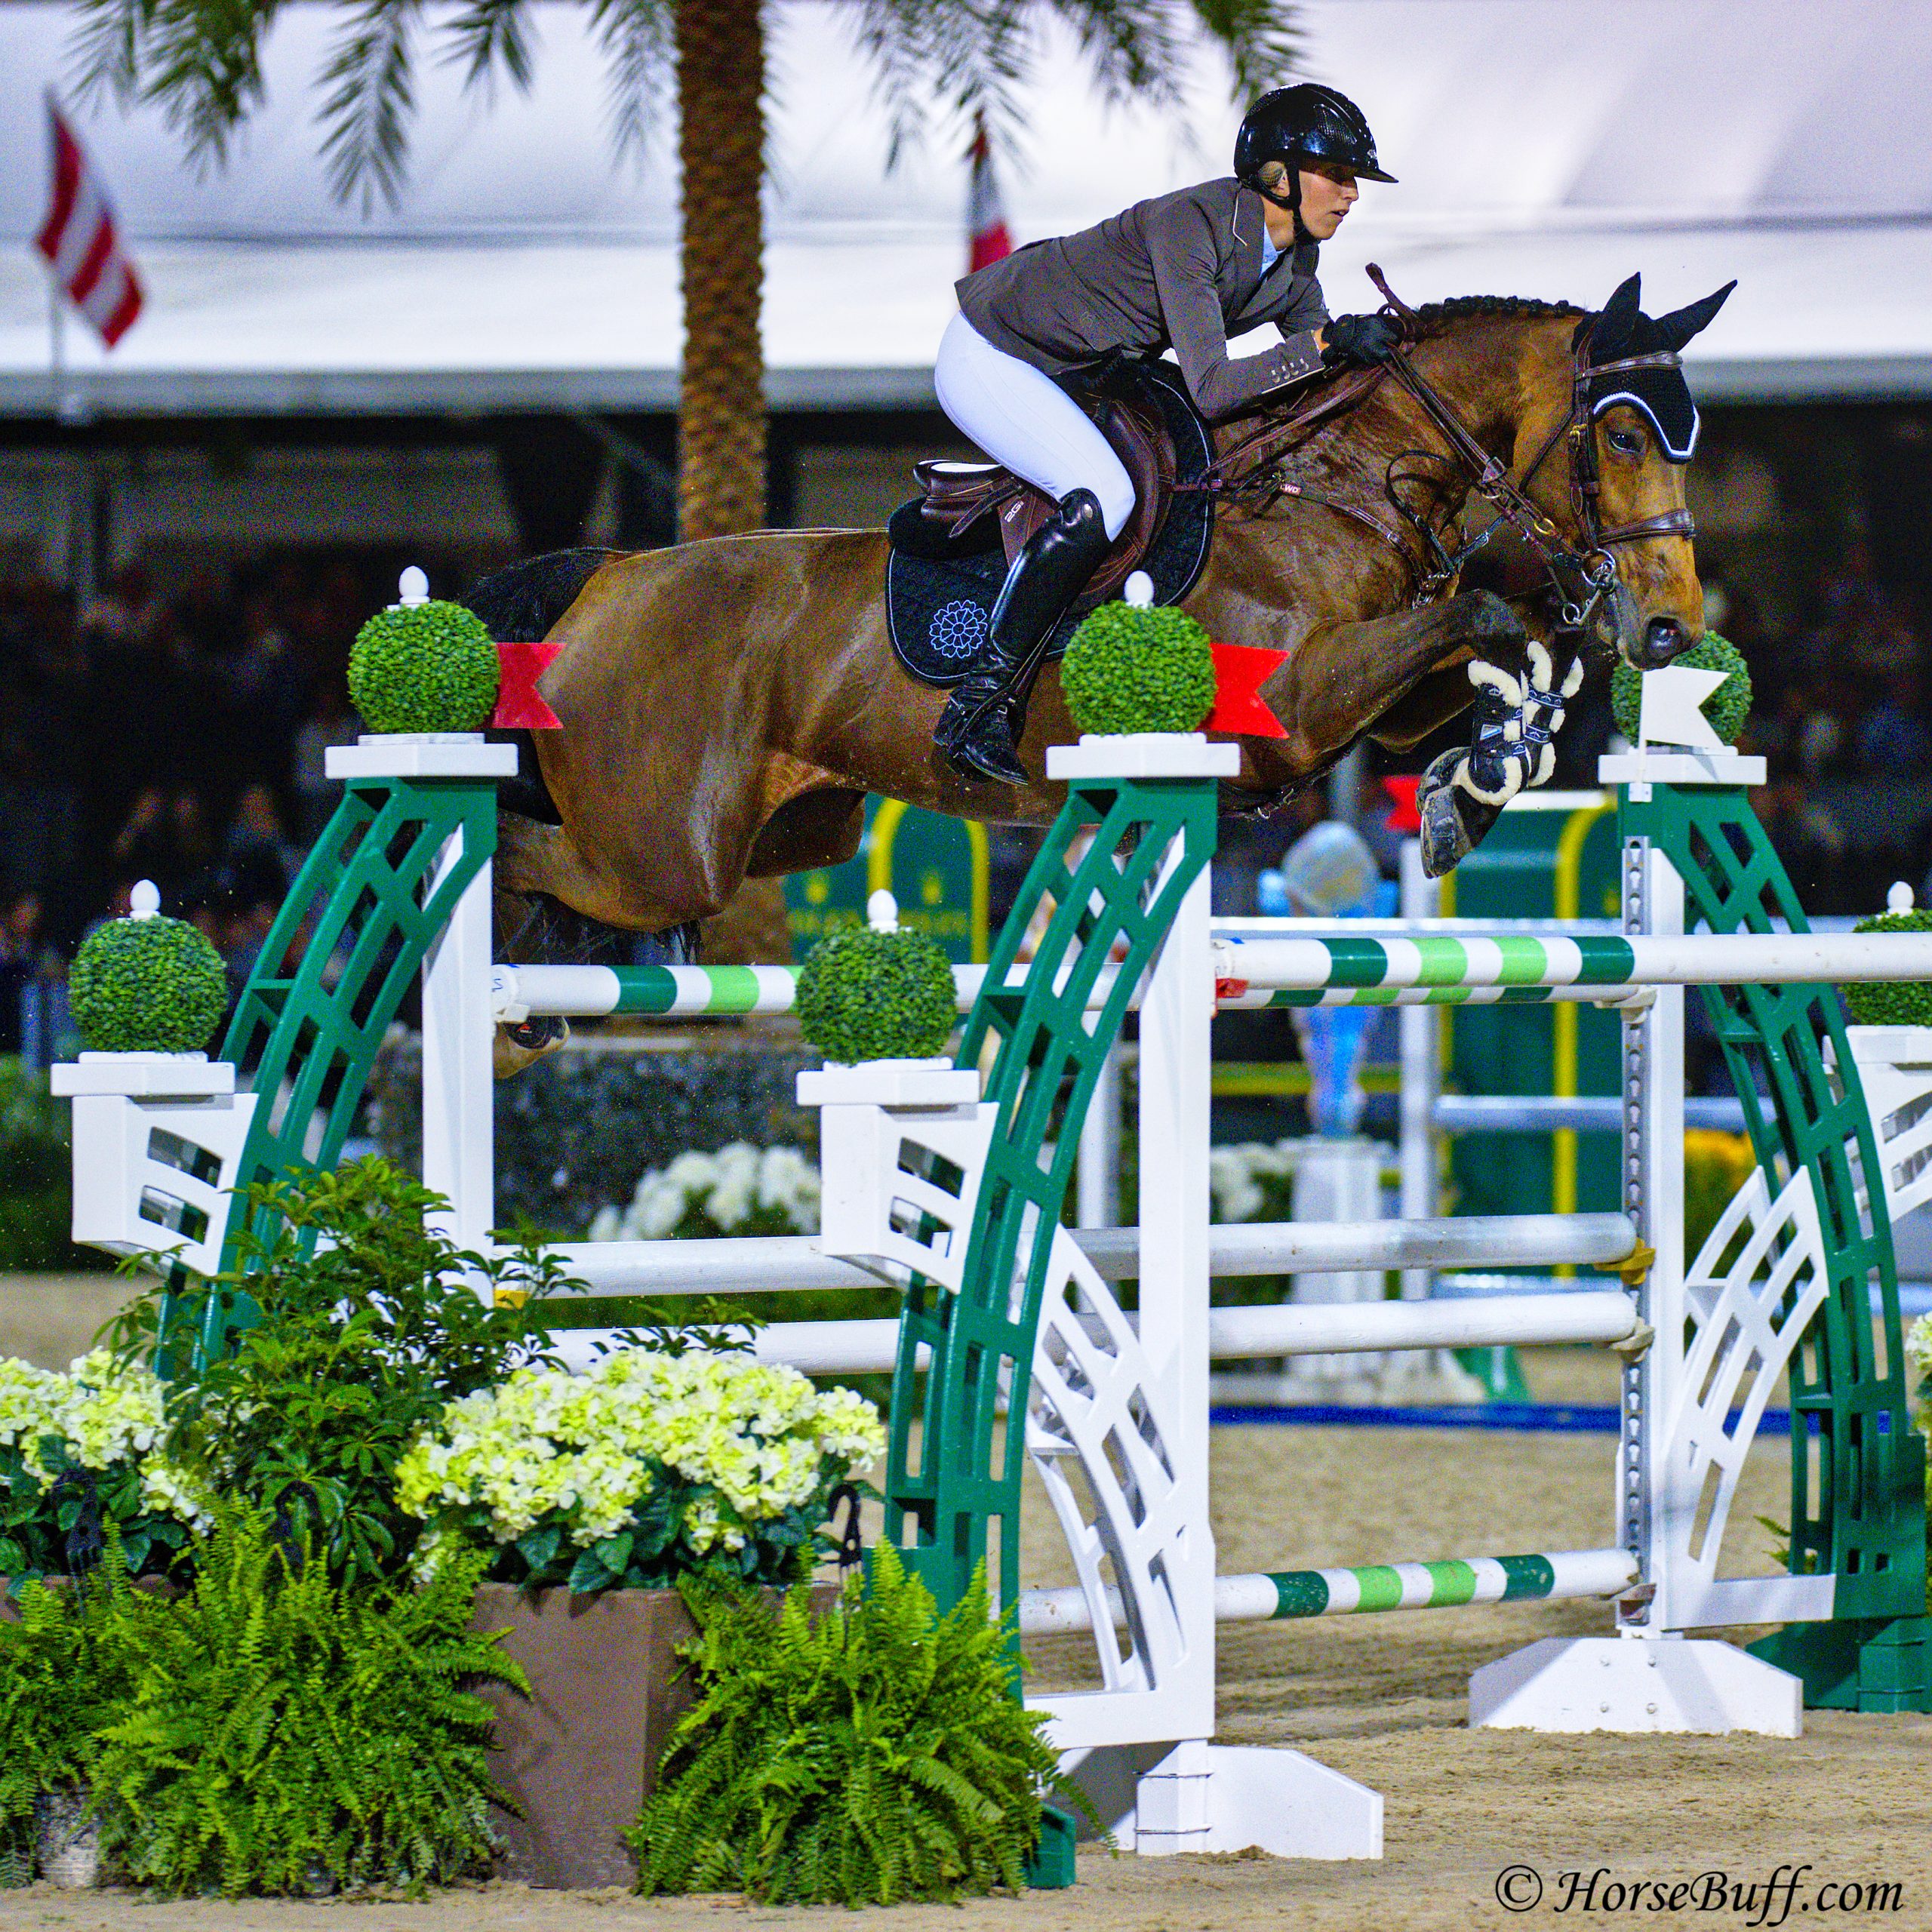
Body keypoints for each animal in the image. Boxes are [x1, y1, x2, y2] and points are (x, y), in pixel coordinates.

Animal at [471, 270, 1739, 989]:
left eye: (1689, 438)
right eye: (1626, 435)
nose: (1670, 627)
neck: (1338, 488)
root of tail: (610, 576)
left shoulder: (1370, 691)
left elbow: (1488, 642)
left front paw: (1478, 778)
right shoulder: (1289, 710)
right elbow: (1482, 610)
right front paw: (1492, 756)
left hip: (791, 835)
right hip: (665, 845)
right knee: (529, 855)